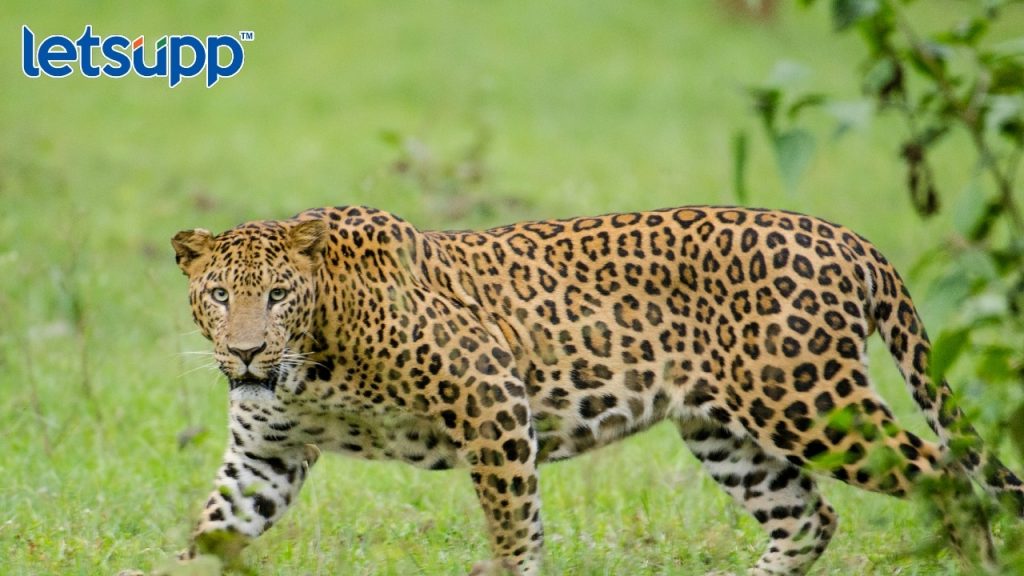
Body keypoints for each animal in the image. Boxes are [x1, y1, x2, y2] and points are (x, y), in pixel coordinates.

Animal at [171, 205, 1024, 575]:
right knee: (809, 517)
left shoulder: (493, 401)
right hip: (725, 431)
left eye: (278, 294)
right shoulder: (265, 457)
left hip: (808, 401)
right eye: (218, 295)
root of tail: (849, 238)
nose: (245, 353)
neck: (312, 358)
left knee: (947, 478)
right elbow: (213, 527)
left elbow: (514, 528)